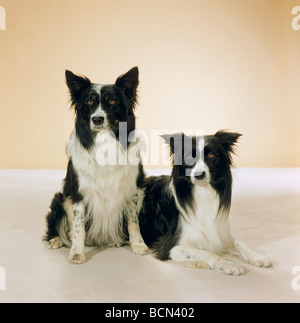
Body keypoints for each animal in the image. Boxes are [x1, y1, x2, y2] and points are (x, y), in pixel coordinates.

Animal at [44, 67, 149, 264]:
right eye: (90, 101)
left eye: (112, 101)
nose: (97, 119)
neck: (104, 141)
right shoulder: (78, 193)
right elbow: (78, 227)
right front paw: (77, 252)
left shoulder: (132, 189)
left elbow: (133, 222)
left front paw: (139, 245)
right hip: (59, 198)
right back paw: (56, 240)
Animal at [139, 132, 274, 276]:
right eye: (189, 157)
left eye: (211, 156)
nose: (199, 175)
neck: (202, 192)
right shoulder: (172, 248)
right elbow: (208, 253)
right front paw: (228, 264)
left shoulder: (220, 234)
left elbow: (240, 244)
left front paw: (257, 257)